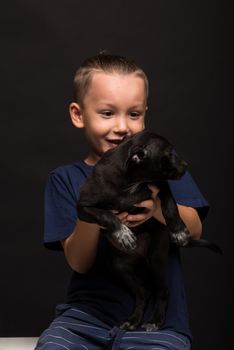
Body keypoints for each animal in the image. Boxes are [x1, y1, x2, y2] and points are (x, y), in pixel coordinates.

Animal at [77, 131, 219, 330]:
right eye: (169, 153)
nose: (186, 165)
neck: (131, 182)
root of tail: (140, 256)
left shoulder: (160, 185)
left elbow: (169, 205)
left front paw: (178, 231)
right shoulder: (84, 207)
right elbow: (106, 215)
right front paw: (123, 234)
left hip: (156, 258)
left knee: (162, 291)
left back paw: (154, 320)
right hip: (120, 268)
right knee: (143, 292)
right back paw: (133, 320)